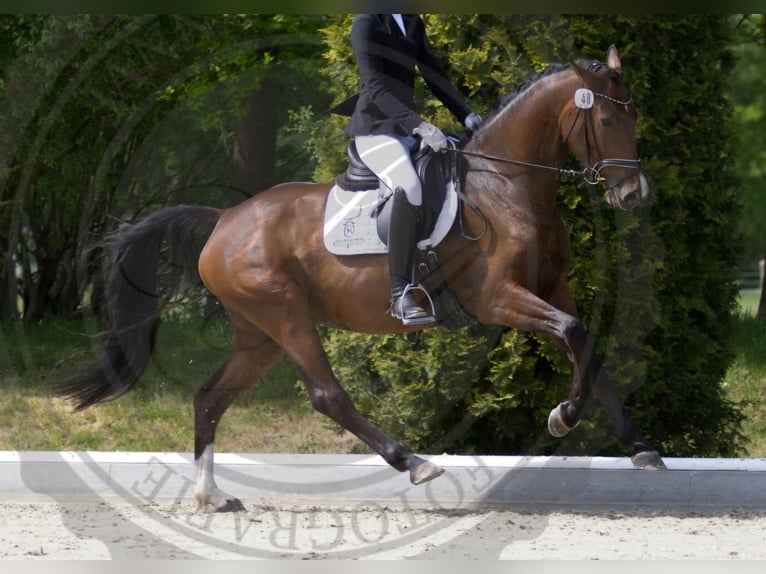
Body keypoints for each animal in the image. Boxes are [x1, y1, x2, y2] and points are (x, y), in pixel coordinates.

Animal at [54, 45, 664, 512]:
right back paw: (414, 462)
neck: (507, 186)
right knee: (327, 396)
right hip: (286, 315)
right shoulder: (497, 298)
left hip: (259, 334)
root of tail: (224, 220)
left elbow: (587, 346)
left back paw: (212, 497)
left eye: (634, 116)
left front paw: (641, 448)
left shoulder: (551, 289)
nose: (634, 196)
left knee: (210, 396)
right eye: (608, 120)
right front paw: (563, 417)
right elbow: (573, 333)